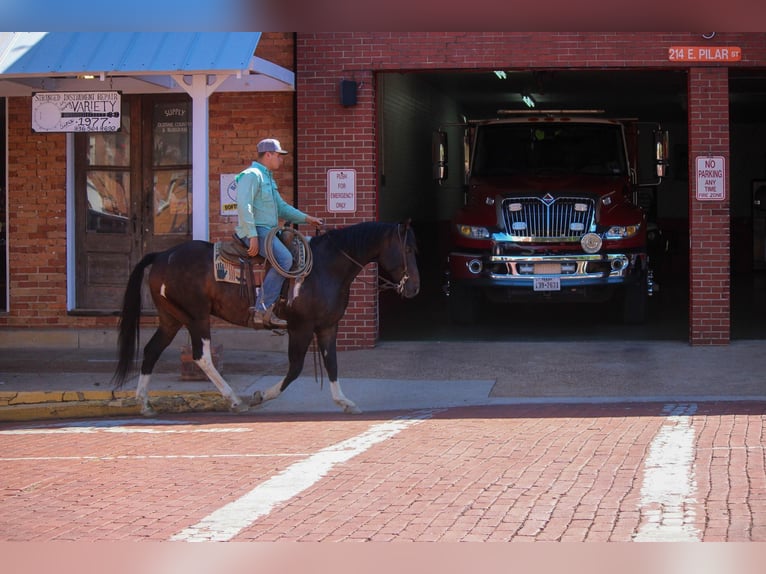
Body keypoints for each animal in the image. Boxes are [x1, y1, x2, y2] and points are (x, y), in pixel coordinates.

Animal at [111, 222, 420, 418]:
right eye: (407, 250)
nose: (415, 288)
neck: (326, 268)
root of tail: (162, 255)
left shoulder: (327, 327)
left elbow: (332, 364)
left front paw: (344, 402)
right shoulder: (301, 328)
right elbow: (294, 369)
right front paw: (262, 396)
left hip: (171, 319)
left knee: (151, 351)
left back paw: (144, 404)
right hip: (196, 316)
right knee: (202, 356)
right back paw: (235, 400)